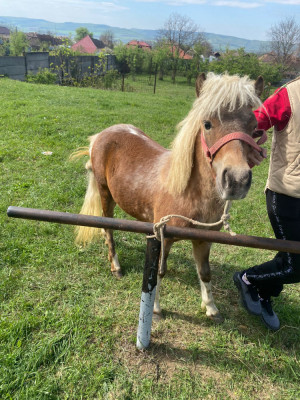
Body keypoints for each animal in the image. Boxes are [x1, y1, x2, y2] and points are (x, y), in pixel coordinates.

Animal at [74, 72, 264, 322]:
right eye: (207, 124)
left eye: (255, 128)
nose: (236, 180)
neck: (186, 193)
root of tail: (102, 134)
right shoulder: (164, 238)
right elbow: (158, 273)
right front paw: (155, 309)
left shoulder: (204, 240)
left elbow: (205, 272)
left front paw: (211, 308)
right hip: (105, 194)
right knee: (108, 228)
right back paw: (116, 266)